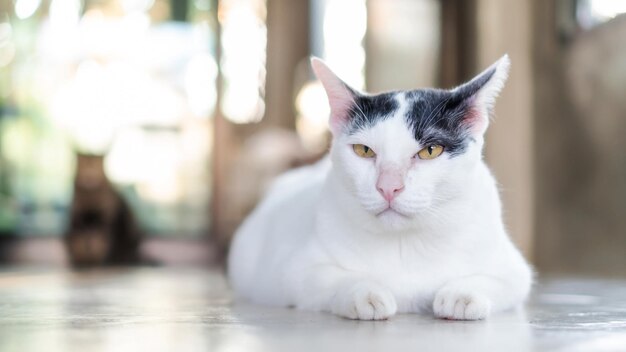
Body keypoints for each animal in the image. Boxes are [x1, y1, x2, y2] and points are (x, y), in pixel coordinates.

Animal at [227, 55, 528, 322]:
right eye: (364, 150)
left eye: (431, 151)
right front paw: (364, 293)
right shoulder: (293, 269)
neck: (404, 244)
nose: (388, 187)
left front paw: (462, 294)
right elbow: (326, 278)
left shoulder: (514, 269)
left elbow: (500, 279)